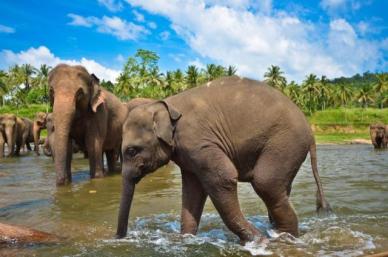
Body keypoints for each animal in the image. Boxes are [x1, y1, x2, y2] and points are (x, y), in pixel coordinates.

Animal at [115, 75, 330, 242]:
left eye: (132, 151)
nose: (119, 238)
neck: (166, 104)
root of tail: (310, 132)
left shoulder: (197, 140)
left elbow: (223, 177)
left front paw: (258, 241)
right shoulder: (189, 154)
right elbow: (192, 191)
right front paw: (186, 240)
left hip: (284, 142)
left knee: (265, 183)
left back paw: (283, 238)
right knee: (280, 188)